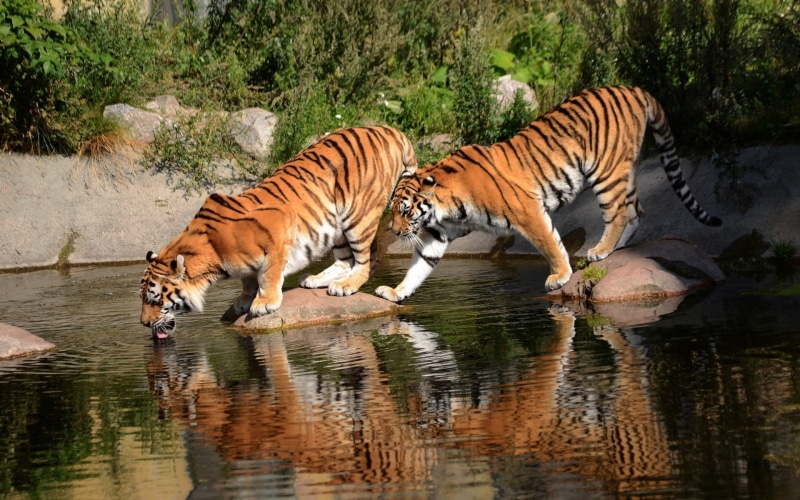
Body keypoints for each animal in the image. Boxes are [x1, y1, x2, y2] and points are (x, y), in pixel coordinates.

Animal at [141, 126, 417, 338]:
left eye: (156, 300)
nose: (144, 323)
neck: (212, 258)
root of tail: (389, 130)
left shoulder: (280, 220)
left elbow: (269, 273)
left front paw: (264, 303)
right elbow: (249, 278)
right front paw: (244, 299)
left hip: (358, 214)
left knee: (369, 258)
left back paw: (345, 286)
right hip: (337, 223)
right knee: (345, 259)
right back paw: (316, 280)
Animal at [375, 86, 721, 303]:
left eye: (404, 210)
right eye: (394, 211)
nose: (393, 231)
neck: (445, 207)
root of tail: (632, 89)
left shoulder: (527, 210)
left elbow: (550, 243)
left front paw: (559, 276)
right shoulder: (439, 235)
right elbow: (419, 267)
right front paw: (396, 292)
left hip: (606, 172)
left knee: (620, 211)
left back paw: (600, 250)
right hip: (622, 171)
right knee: (637, 209)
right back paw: (616, 248)